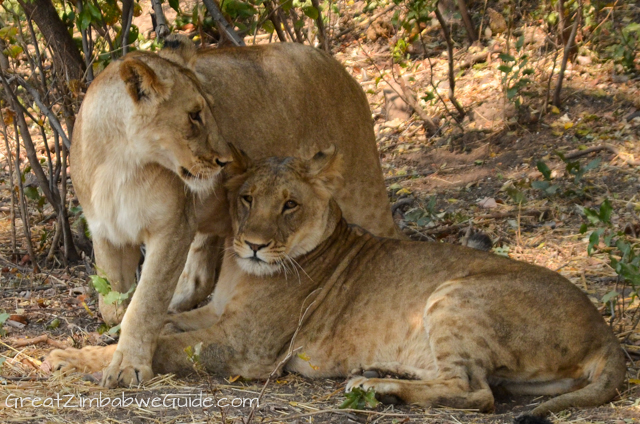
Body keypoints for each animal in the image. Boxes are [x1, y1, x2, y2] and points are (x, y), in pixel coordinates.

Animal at [48, 147, 624, 416]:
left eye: (290, 205)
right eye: (246, 199)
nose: (253, 244)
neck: (242, 272)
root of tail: (607, 334)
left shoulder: (245, 350)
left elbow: (166, 344)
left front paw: (74, 358)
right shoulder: (215, 313)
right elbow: (164, 319)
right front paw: (100, 339)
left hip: (454, 295)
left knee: (477, 393)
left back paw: (375, 387)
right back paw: (380, 373)